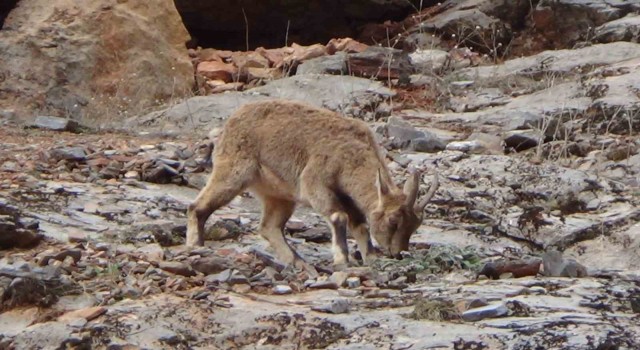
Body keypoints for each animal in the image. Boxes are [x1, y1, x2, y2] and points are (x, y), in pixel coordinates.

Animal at [182, 98, 438, 270]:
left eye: (415, 225)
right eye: (394, 220)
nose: (397, 253)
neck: (351, 154)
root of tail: (232, 121)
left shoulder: (347, 196)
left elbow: (360, 224)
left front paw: (370, 257)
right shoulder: (316, 183)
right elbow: (339, 216)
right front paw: (342, 259)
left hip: (279, 195)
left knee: (269, 227)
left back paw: (297, 261)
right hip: (233, 173)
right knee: (197, 207)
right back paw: (196, 245)